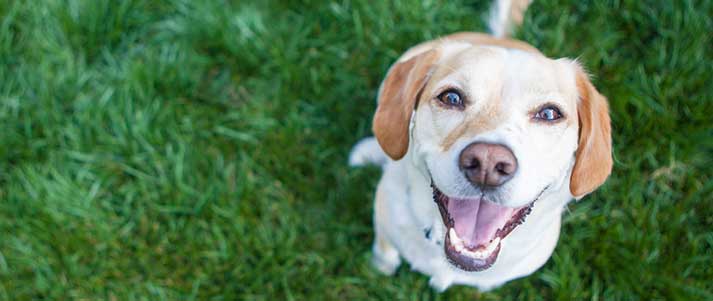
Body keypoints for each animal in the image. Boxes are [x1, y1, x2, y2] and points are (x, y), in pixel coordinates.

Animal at [348, 0, 608, 290]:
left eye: (549, 113)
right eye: (451, 97)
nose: (487, 163)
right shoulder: (384, 223)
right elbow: (385, 252)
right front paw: (380, 267)